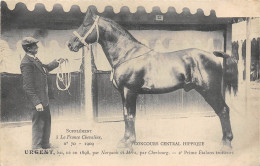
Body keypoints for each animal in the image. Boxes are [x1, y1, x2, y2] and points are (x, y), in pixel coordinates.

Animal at [68, 9, 238, 148]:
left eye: (85, 24)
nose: (70, 44)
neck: (126, 54)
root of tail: (214, 55)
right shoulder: (123, 93)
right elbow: (125, 115)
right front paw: (125, 140)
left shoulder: (130, 91)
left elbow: (130, 116)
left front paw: (129, 143)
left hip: (210, 91)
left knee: (223, 110)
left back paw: (226, 143)